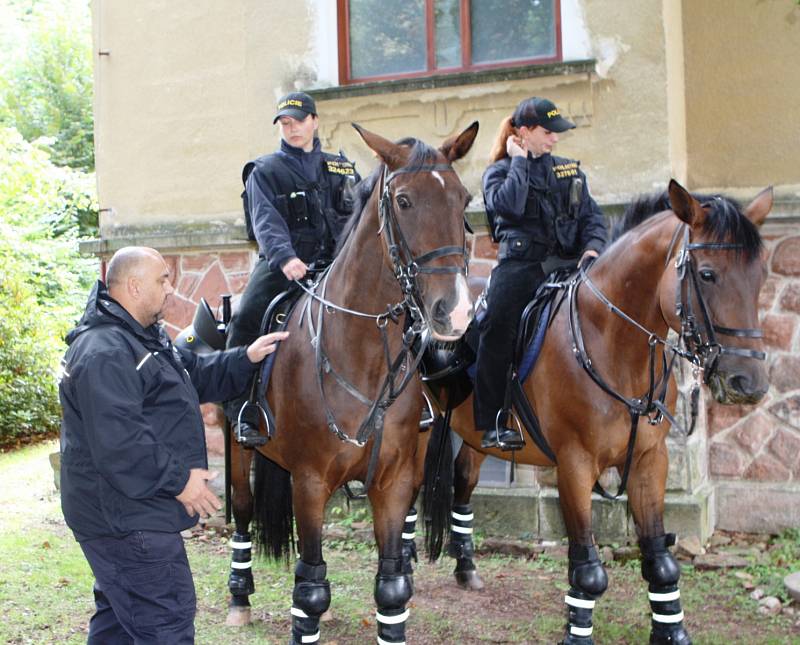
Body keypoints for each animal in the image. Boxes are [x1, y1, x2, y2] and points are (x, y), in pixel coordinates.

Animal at [222, 123, 478, 640]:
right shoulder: (310, 482)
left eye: (462, 199)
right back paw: (239, 595)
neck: (362, 352)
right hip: (240, 452)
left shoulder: (393, 483)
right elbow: (310, 588)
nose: (456, 311)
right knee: (242, 510)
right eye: (403, 200)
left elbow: (392, 587)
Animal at [422, 181, 772, 644]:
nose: (749, 382)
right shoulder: (574, 465)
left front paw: (671, 631)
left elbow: (660, 561)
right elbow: (588, 570)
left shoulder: (649, 461)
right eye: (708, 274)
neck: (611, 344)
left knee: (463, 481)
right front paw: (577, 631)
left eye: (760, 277)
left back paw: (465, 568)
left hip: (477, 433)